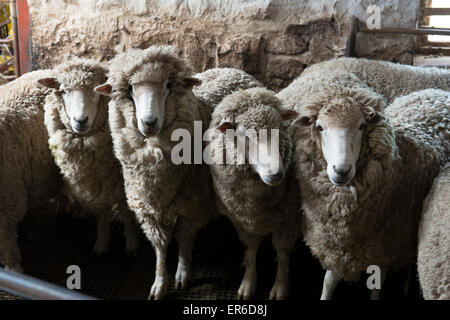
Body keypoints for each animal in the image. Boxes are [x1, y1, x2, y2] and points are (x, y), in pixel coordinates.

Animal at [38, 58, 141, 255]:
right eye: (64, 91)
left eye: (95, 90)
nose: (80, 121)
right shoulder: (96, 180)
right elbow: (102, 212)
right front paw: (102, 241)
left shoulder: (122, 179)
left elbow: (125, 211)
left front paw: (132, 241)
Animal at [292, 86, 450, 298]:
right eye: (320, 127)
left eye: (361, 126)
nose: (341, 170)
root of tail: (438, 92)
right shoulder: (338, 246)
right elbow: (328, 281)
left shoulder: (383, 249)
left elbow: (375, 289)